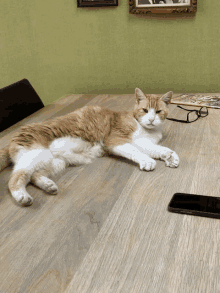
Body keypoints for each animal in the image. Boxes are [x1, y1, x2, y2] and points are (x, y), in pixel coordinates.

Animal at [0, 88, 179, 204]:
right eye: (145, 110)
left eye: (158, 112)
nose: (151, 119)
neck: (148, 130)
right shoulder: (115, 140)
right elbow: (137, 152)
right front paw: (147, 160)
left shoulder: (143, 142)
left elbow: (157, 149)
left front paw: (170, 156)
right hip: (36, 154)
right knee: (16, 177)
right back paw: (21, 196)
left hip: (55, 162)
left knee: (34, 176)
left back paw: (48, 185)